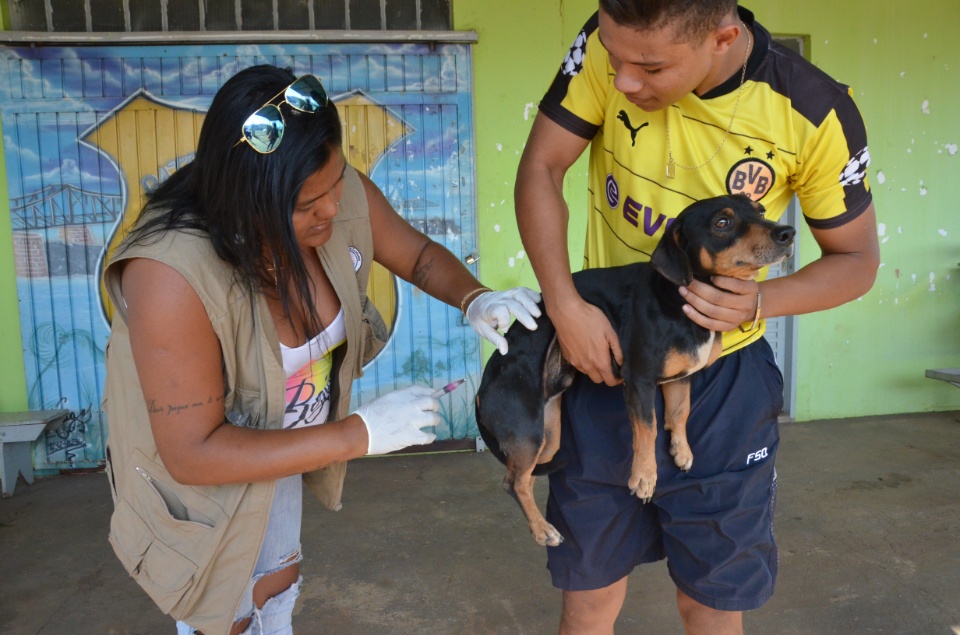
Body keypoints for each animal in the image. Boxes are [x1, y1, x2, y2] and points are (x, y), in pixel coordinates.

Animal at [474, 194, 796, 548]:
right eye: (721, 223)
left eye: (760, 211)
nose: (788, 233)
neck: (677, 297)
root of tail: (482, 389)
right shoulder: (640, 381)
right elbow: (648, 429)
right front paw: (644, 477)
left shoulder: (682, 377)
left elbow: (679, 413)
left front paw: (681, 450)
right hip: (527, 431)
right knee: (513, 482)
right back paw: (543, 530)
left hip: (547, 437)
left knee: (527, 477)